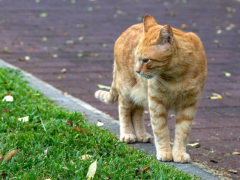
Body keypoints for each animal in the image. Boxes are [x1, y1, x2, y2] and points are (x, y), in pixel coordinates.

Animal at [94, 14, 207, 162]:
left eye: (146, 60)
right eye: (137, 58)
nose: (137, 71)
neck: (177, 75)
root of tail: (125, 31)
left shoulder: (189, 105)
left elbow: (182, 132)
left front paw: (179, 153)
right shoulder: (156, 102)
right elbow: (161, 130)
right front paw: (165, 152)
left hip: (140, 94)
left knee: (136, 113)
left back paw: (141, 134)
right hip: (126, 91)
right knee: (124, 112)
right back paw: (127, 134)